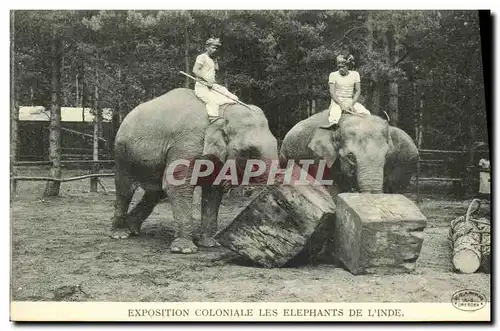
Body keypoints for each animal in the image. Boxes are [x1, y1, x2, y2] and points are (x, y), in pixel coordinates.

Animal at [111, 87, 280, 254]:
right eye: (249, 152)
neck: (220, 113)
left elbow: (213, 191)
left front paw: (209, 244)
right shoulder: (187, 144)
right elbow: (177, 186)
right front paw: (185, 249)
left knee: (155, 192)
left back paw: (133, 229)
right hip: (122, 154)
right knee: (125, 190)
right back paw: (120, 234)